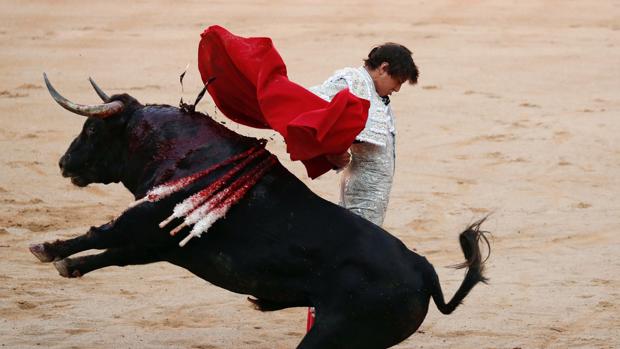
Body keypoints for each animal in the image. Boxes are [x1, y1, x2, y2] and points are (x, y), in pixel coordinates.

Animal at [31, 78, 492, 348]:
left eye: (92, 128)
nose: (64, 163)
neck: (183, 152)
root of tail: (422, 269)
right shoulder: (164, 244)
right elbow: (113, 253)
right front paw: (67, 265)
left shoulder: (148, 222)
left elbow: (102, 232)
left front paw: (47, 249)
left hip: (334, 338)